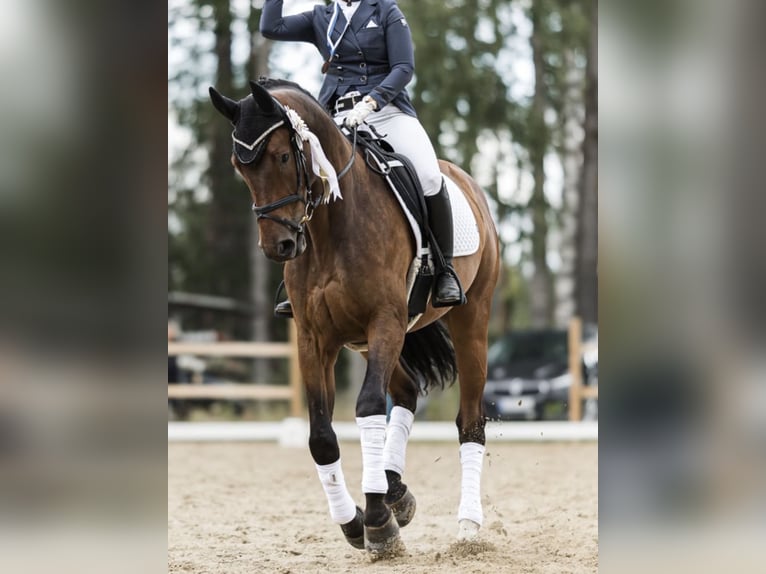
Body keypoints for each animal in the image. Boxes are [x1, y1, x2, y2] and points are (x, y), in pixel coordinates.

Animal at [209, 78, 500, 558]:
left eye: (283, 156)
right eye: (239, 166)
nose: (278, 247)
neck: (331, 227)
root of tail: (465, 182)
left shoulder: (385, 320)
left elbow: (366, 410)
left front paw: (378, 522)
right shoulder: (315, 338)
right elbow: (321, 436)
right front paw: (354, 521)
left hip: (469, 322)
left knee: (470, 422)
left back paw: (467, 526)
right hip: (365, 341)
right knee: (406, 391)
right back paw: (396, 489)